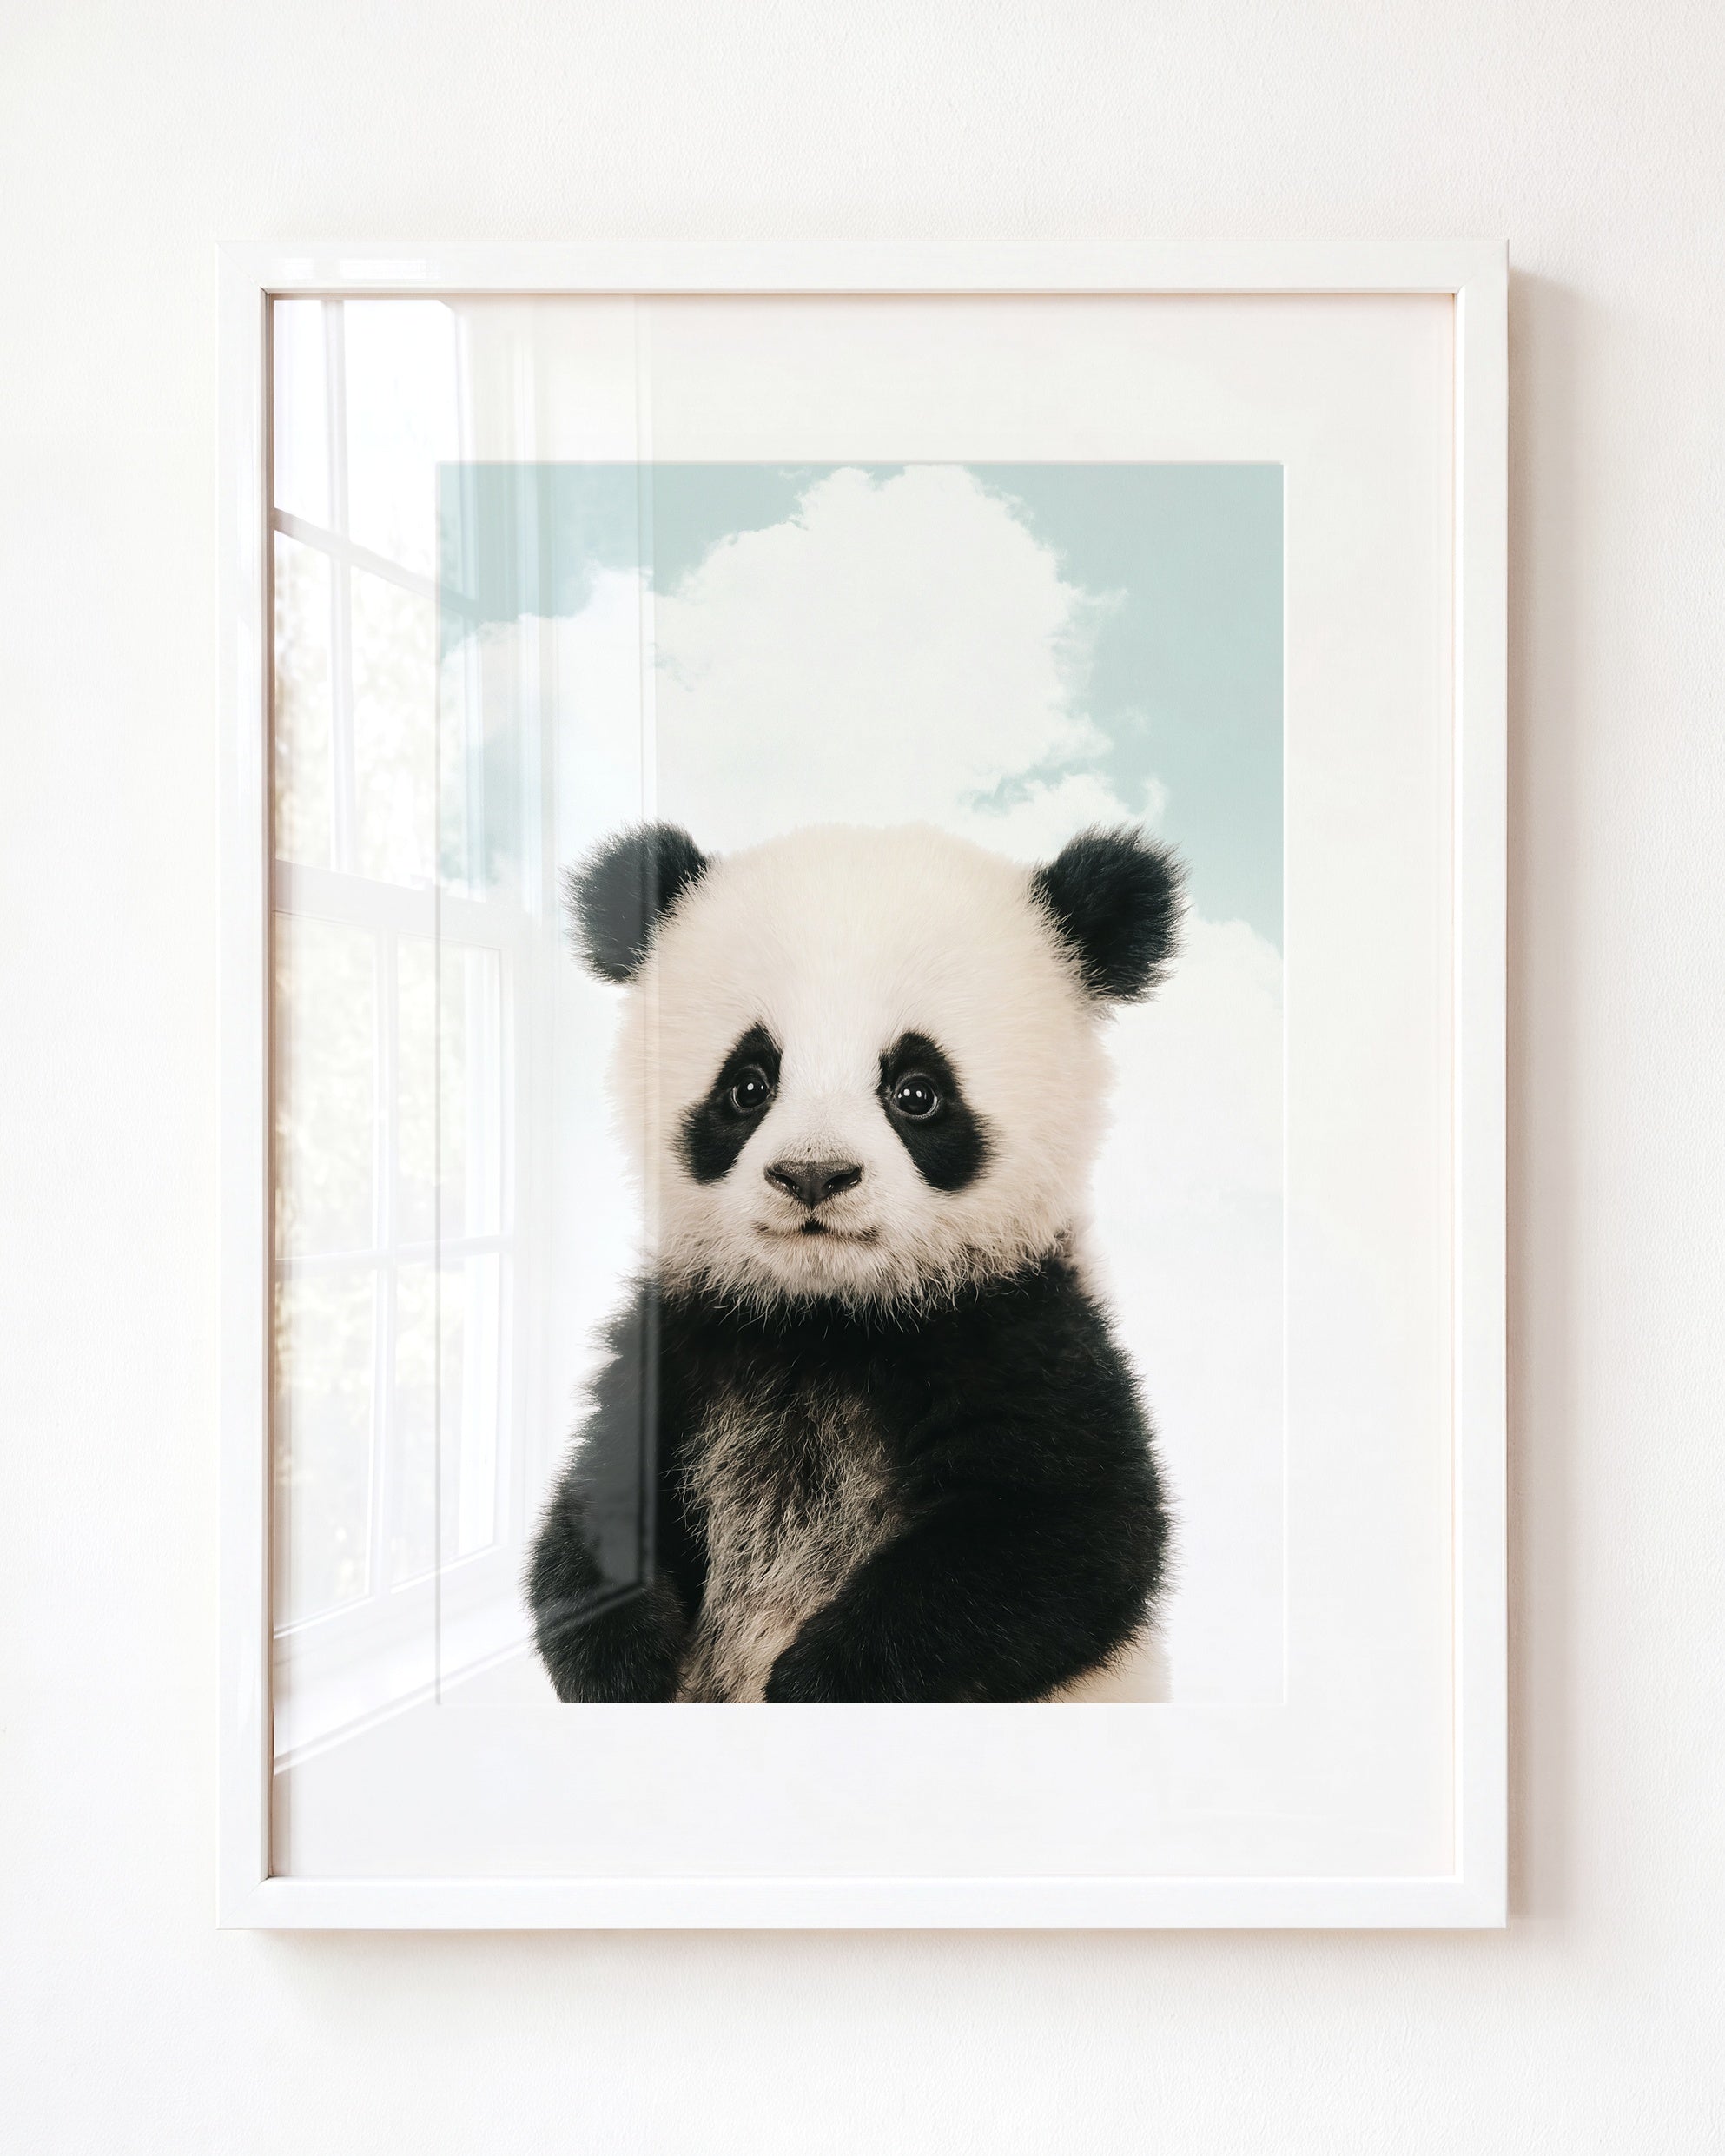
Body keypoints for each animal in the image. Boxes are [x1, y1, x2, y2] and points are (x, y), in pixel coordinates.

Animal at [528, 818, 1182, 1703]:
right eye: (748, 1084)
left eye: (917, 1091)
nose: (814, 1174)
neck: (828, 1318)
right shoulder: (683, 1336)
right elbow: (594, 1506)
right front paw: (624, 1663)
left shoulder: (1023, 1332)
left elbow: (1068, 1537)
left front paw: (816, 1682)